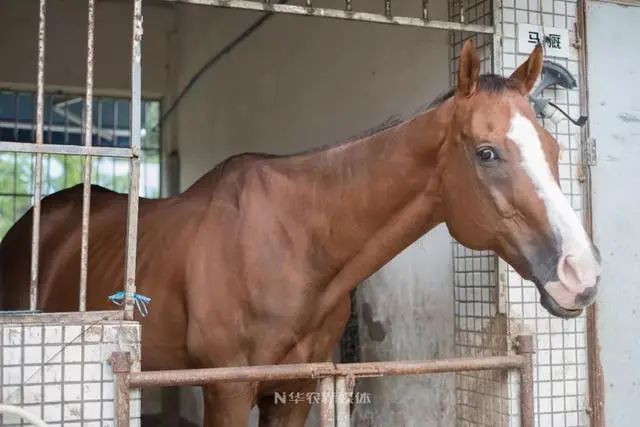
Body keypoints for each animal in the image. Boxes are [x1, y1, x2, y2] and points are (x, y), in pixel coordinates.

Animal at [0, 41, 600, 427]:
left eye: (553, 148)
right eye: (487, 152)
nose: (582, 273)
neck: (295, 246)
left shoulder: (296, 392)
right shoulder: (227, 392)